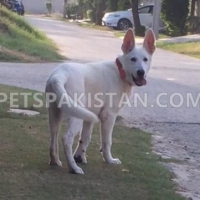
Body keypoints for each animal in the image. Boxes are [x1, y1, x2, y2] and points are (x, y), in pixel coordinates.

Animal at [45, 28, 156, 173]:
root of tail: (58, 75)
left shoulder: (89, 117)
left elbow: (85, 138)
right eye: (133, 59)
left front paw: (80, 157)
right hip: (75, 115)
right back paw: (74, 168)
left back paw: (55, 161)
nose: (141, 72)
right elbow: (107, 141)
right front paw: (109, 160)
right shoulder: (109, 115)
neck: (120, 72)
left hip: (56, 113)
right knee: (67, 138)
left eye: (145, 59)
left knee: (53, 136)